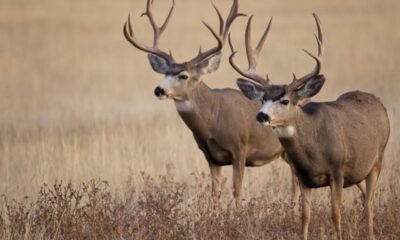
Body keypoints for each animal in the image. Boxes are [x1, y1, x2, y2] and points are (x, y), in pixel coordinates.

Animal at [122, 0, 300, 206]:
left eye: (183, 75)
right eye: (165, 73)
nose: (159, 89)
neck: (213, 119)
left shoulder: (240, 149)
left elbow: (237, 191)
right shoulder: (211, 156)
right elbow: (214, 194)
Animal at [230, 13, 390, 240]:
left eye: (285, 101)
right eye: (262, 99)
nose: (261, 115)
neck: (314, 150)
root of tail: (379, 102)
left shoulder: (337, 171)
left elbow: (335, 214)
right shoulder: (303, 177)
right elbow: (305, 216)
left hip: (378, 160)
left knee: (369, 205)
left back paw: (371, 234)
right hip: (360, 169)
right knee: (366, 200)